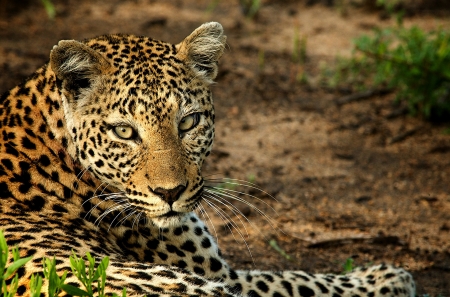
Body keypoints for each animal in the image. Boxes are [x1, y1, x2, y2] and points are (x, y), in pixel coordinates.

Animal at [0, 22, 414, 294]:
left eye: (189, 122)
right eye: (124, 132)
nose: (170, 193)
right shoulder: (224, 276)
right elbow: (297, 281)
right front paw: (388, 277)